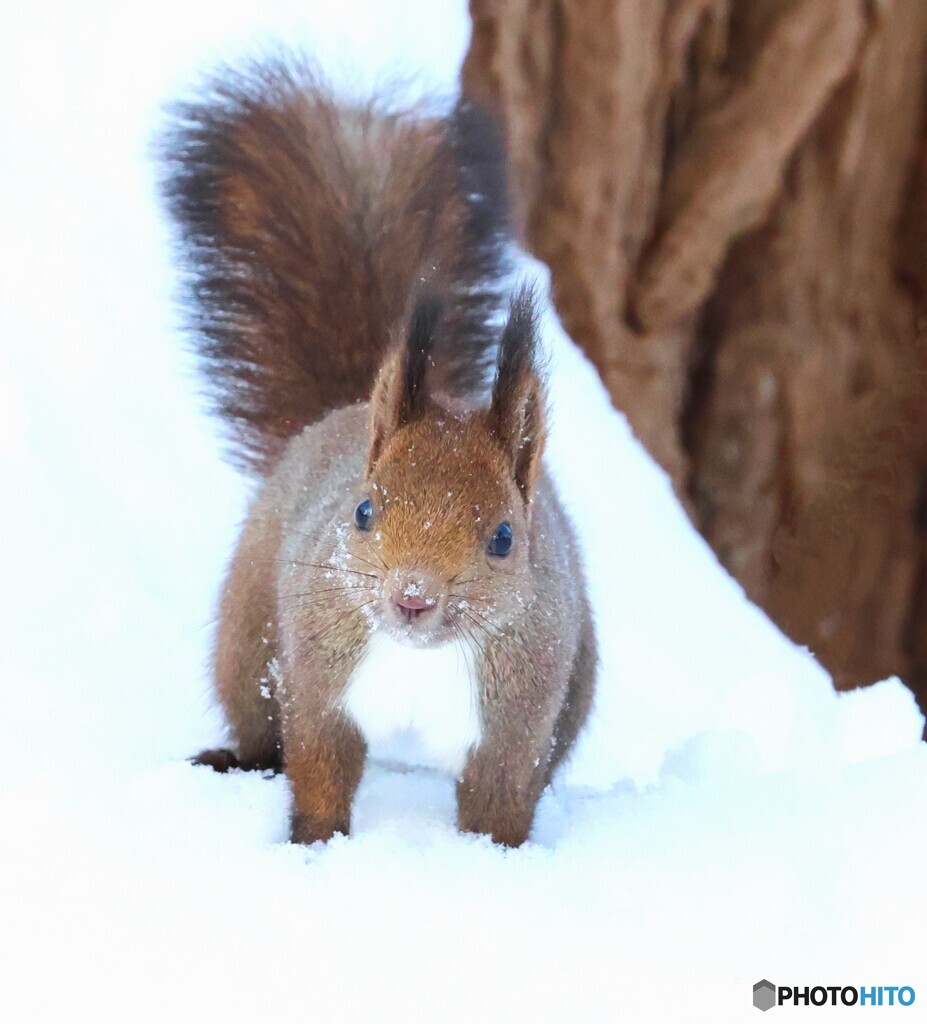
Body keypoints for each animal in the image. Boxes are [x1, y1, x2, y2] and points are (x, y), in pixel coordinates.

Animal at [161, 56, 598, 847]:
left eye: (504, 538)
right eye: (364, 511)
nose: (413, 597)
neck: (419, 658)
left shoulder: (515, 728)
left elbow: (498, 806)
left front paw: (495, 864)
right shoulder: (318, 686)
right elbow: (319, 771)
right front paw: (314, 847)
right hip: (249, 645)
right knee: (260, 730)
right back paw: (232, 759)